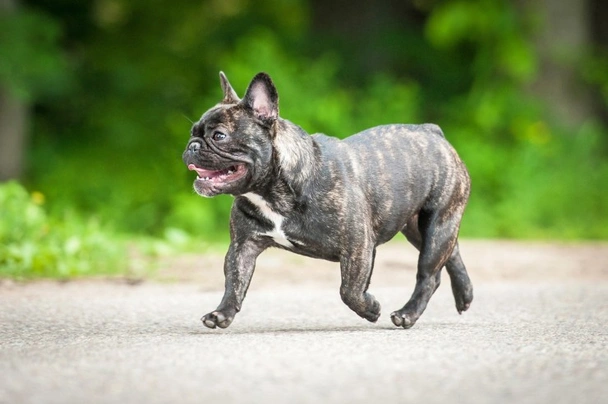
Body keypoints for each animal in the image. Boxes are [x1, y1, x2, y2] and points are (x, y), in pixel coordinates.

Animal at [183, 72, 472, 328]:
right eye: (192, 132)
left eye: (219, 136)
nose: (192, 145)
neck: (273, 191)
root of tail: (432, 131)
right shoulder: (242, 245)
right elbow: (235, 281)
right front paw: (222, 313)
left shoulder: (358, 247)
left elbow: (350, 290)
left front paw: (370, 308)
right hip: (417, 227)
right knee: (452, 253)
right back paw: (465, 295)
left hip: (438, 221)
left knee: (429, 273)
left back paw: (407, 314)